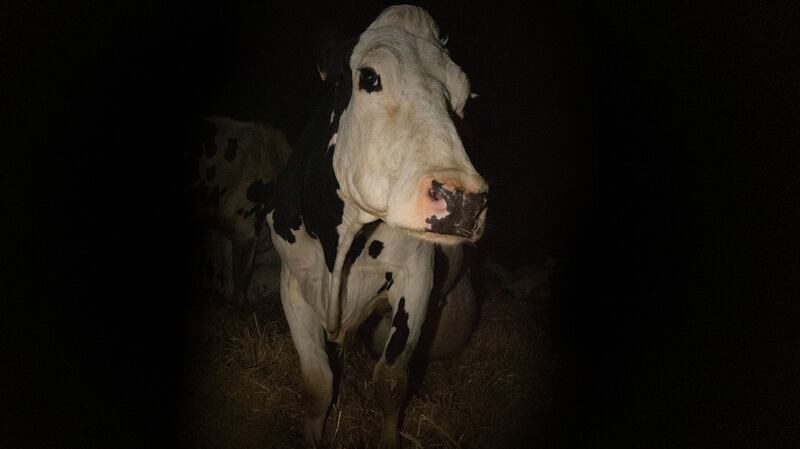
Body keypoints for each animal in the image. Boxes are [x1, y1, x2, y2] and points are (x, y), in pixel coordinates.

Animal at [267, 6, 488, 448]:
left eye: (463, 98)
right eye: (369, 77)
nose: (464, 201)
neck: (340, 245)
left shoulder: (415, 278)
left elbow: (389, 382)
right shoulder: (292, 280)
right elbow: (317, 383)